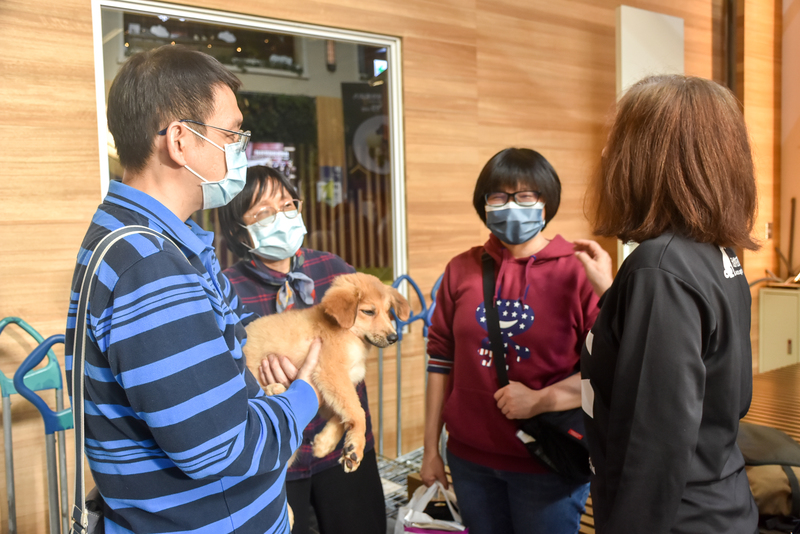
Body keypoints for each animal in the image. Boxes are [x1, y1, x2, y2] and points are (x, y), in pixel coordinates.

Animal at [244, 274, 410, 476]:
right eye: (369, 312)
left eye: (388, 311)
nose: (394, 338)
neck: (350, 334)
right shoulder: (331, 373)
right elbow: (359, 412)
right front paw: (356, 447)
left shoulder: (332, 390)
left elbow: (343, 416)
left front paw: (325, 443)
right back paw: (275, 389)